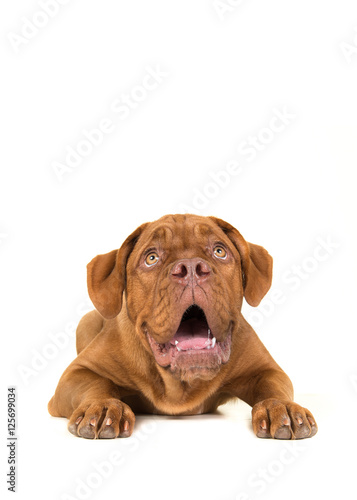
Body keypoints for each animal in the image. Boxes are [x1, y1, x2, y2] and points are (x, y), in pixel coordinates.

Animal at [48, 213, 318, 440]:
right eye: (151, 258)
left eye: (219, 251)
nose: (190, 268)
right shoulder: (76, 373)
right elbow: (96, 385)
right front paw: (104, 405)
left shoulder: (267, 370)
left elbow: (272, 387)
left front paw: (281, 407)